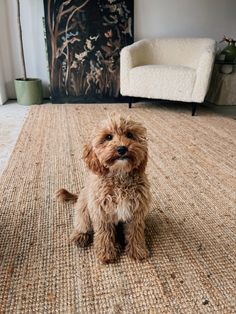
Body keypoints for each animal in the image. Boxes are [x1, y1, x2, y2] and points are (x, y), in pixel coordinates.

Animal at [56, 114, 150, 262]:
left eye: (129, 134)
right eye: (109, 137)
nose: (122, 149)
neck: (119, 178)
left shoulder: (136, 213)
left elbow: (135, 232)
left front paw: (137, 251)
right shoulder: (101, 212)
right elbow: (104, 234)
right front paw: (107, 254)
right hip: (84, 208)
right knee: (82, 224)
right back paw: (79, 236)